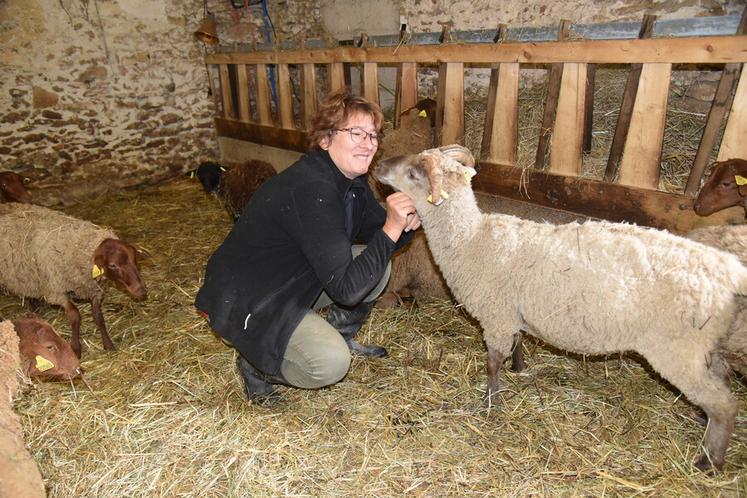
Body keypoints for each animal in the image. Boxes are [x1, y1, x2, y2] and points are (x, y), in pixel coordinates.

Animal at [0, 202, 150, 358]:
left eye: (135, 258)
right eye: (113, 265)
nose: (141, 290)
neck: (80, 249)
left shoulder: (93, 290)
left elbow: (98, 317)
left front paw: (108, 345)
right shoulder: (57, 291)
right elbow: (75, 316)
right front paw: (76, 349)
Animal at [376, 145, 747, 474]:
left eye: (414, 174)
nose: (379, 164)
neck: (472, 240)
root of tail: (728, 269)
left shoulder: (496, 316)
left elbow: (492, 363)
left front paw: (490, 404)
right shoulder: (511, 313)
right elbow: (518, 342)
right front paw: (519, 367)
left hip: (677, 349)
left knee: (724, 404)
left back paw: (708, 462)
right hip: (706, 347)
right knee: (722, 382)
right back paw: (701, 424)